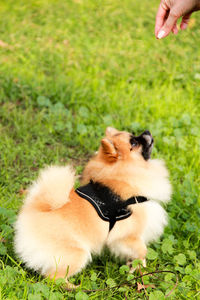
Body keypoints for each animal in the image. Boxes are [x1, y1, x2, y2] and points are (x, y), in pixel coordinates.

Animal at [14, 126, 171, 286]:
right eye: (133, 143)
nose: (147, 132)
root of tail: (34, 211)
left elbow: (139, 258)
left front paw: (138, 270)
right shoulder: (127, 236)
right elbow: (142, 251)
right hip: (78, 254)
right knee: (53, 278)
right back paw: (75, 287)